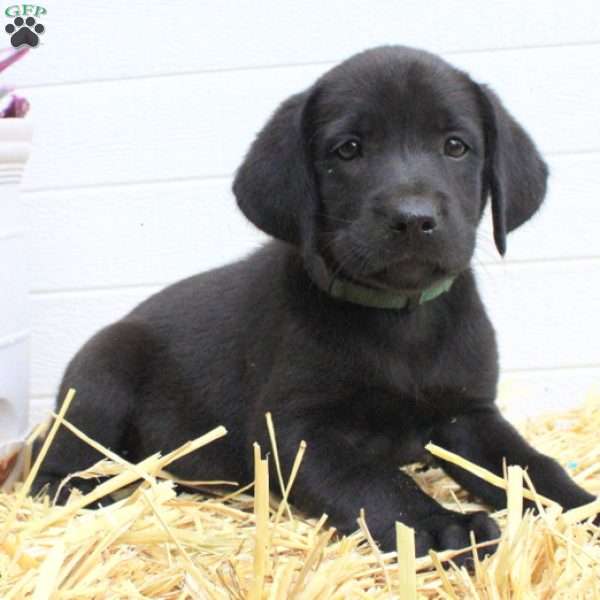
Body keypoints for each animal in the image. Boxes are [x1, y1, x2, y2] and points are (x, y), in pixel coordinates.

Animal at [35, 45, 596, 556]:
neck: (401, 321)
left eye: (456, 146)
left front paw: (580, 504)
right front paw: (440, 527)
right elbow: (375, 480)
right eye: (347, 150)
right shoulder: (294, 432)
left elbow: (529, 464)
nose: (413, 218)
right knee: (51, 466)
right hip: (102, 372)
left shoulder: (469, 414)